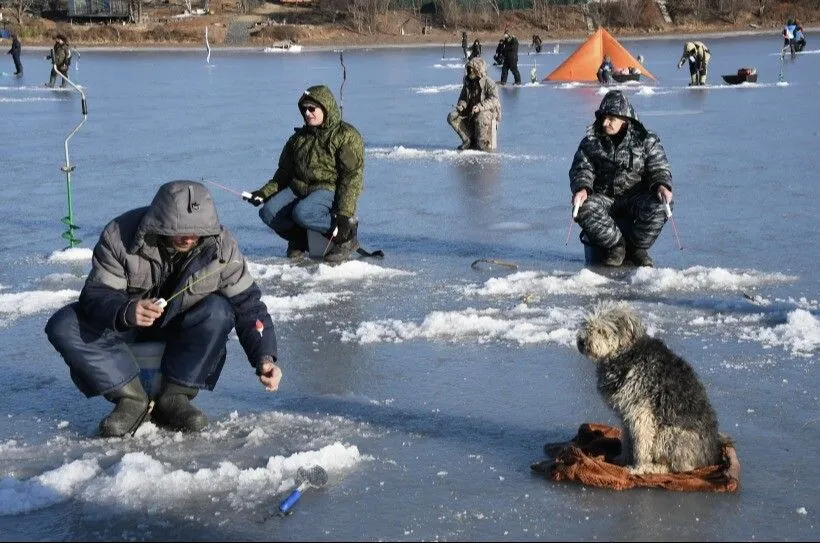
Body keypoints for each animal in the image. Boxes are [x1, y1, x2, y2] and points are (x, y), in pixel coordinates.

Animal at [580, 302, 720, 476]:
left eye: (601, 330)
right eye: (587, 325)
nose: (581, 342)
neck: (626, 353)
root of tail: (709, 459)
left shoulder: (642, 414)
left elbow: (641, 445)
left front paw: (637, 468)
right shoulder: (627, 415)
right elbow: (628, 440)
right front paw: (623, 459)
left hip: (668, 435)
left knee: (679, 468)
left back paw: (653, 468)